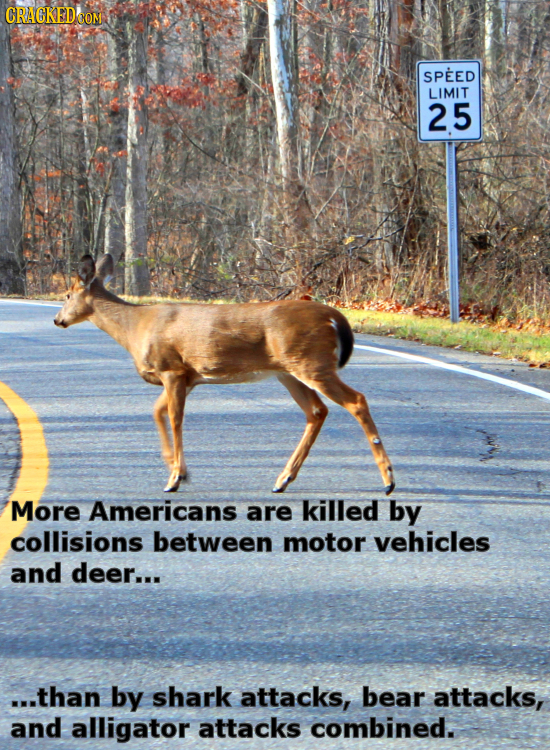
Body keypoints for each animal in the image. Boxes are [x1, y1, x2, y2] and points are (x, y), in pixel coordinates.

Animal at [54, 254, 395, 496]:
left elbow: (175, 419)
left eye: (68, 295)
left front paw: (174, 477)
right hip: (289, 371)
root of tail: (334, 317)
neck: (134, 328)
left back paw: (388, 479)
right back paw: (283, 479)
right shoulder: (187, 377)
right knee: (317, 411)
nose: (58, 319)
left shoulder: (172, 369)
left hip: (312, 363)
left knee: (356, 400)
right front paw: (179, 470)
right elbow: (157, 412)